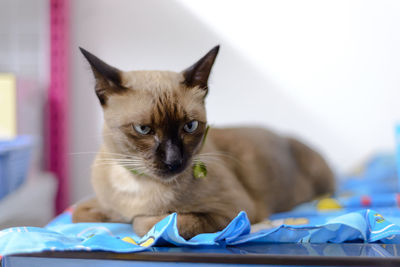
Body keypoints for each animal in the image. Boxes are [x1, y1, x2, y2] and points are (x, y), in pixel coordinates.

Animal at [72, 45, 334, 240]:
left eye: (190, 126)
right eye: (143, 129)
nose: (173, 161)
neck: (139, 185)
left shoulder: (233, 212)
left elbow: (154, 223)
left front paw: (139, 219)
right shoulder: (92, 206)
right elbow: (80, 214)